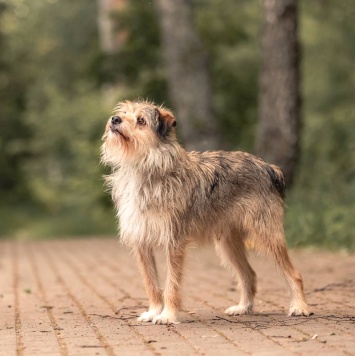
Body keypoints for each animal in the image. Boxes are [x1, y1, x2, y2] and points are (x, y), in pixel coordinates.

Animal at [101, 98, 312, 324]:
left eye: (141, 120)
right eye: (124, 113)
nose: (115, 119)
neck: (145, 166)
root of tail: (269, 167)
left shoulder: (174, 242)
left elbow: (171, 284)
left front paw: (167, 315)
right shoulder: (142, 242)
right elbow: (151, 283)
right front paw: (154, 311)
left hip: (267, 236)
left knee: (294, 274)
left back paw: (300, 307)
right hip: (228, 244)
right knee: (249, 275)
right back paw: (243, 307)